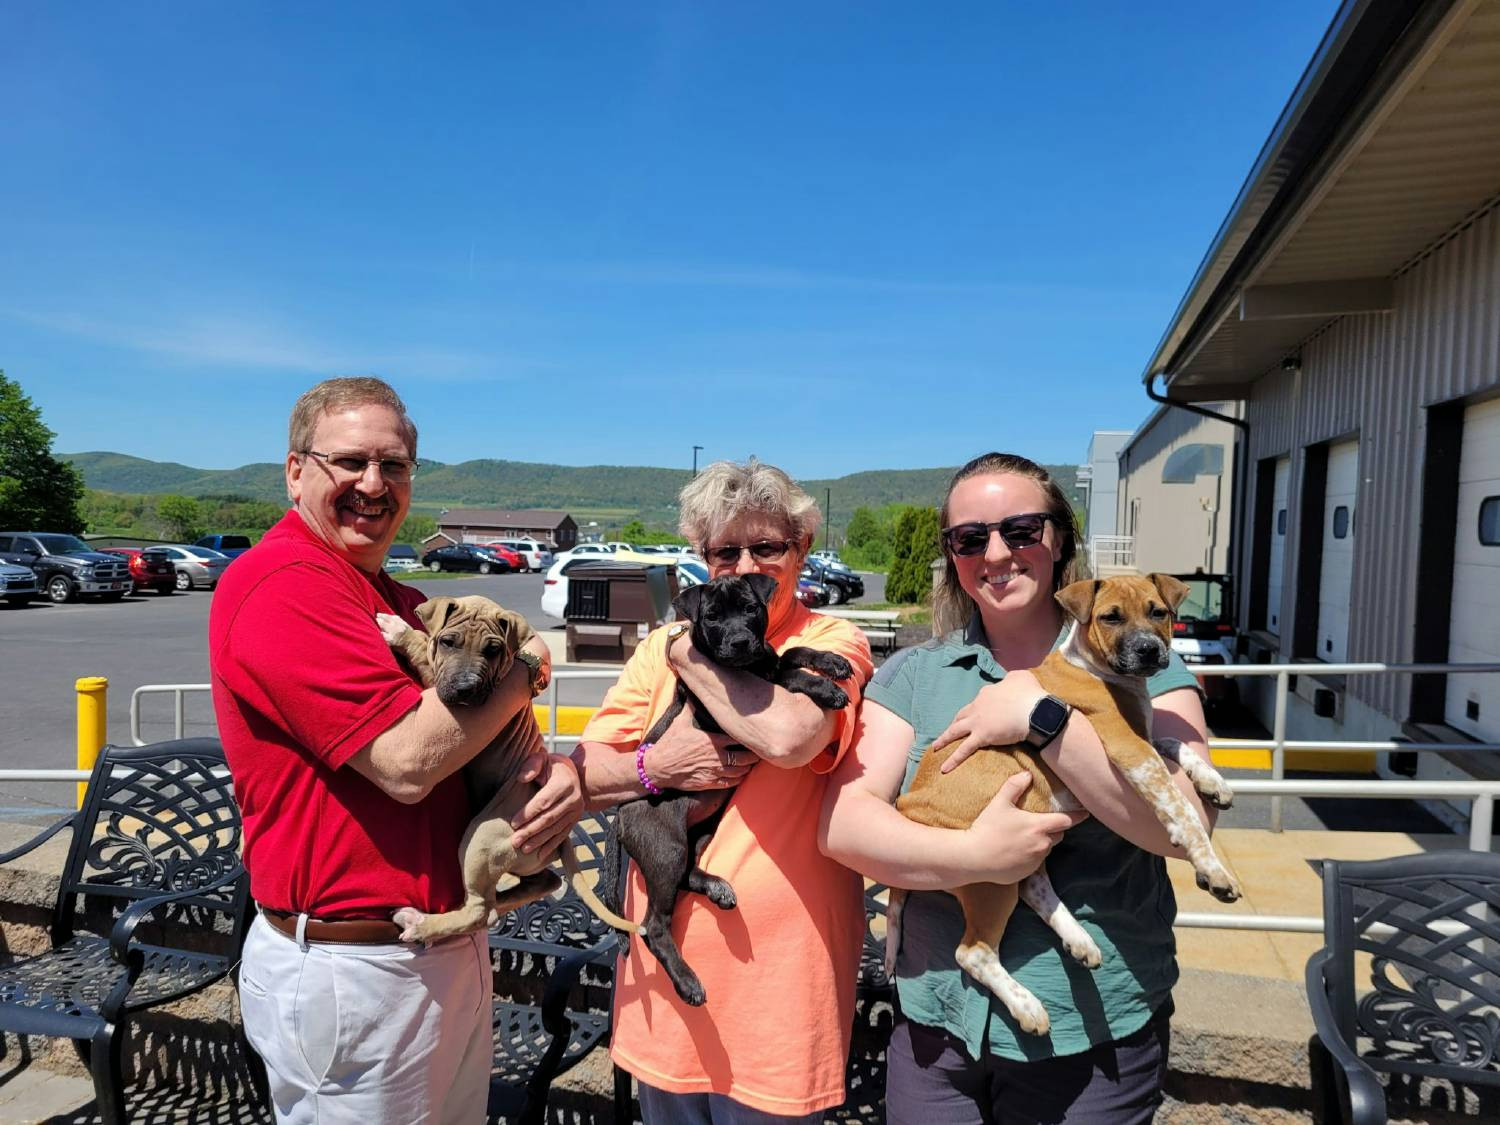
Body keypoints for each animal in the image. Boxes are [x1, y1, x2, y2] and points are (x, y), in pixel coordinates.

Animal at [378, 594, 630, 948]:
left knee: (482, 911)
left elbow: (422, 650)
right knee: (541, 883)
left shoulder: (438, 687)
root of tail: (562, 840)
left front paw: (400, 630)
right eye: (449, 642)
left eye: (493, 650)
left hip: (481, 838)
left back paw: (421, 923)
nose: (466, 688)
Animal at [603, 576, 852, 1008]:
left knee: (687, 876)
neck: (746, 666)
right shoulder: (715, 712)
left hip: (699, 831)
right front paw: (823, 687)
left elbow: (792, 653)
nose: (739, 643)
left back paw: (716, 888)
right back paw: (687, 982)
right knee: (653, 925)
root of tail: (622, 813)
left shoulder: (767, 657)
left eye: (751, 609)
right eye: (713, 617)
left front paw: (832, 661)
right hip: (665, 846)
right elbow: (786, 677)